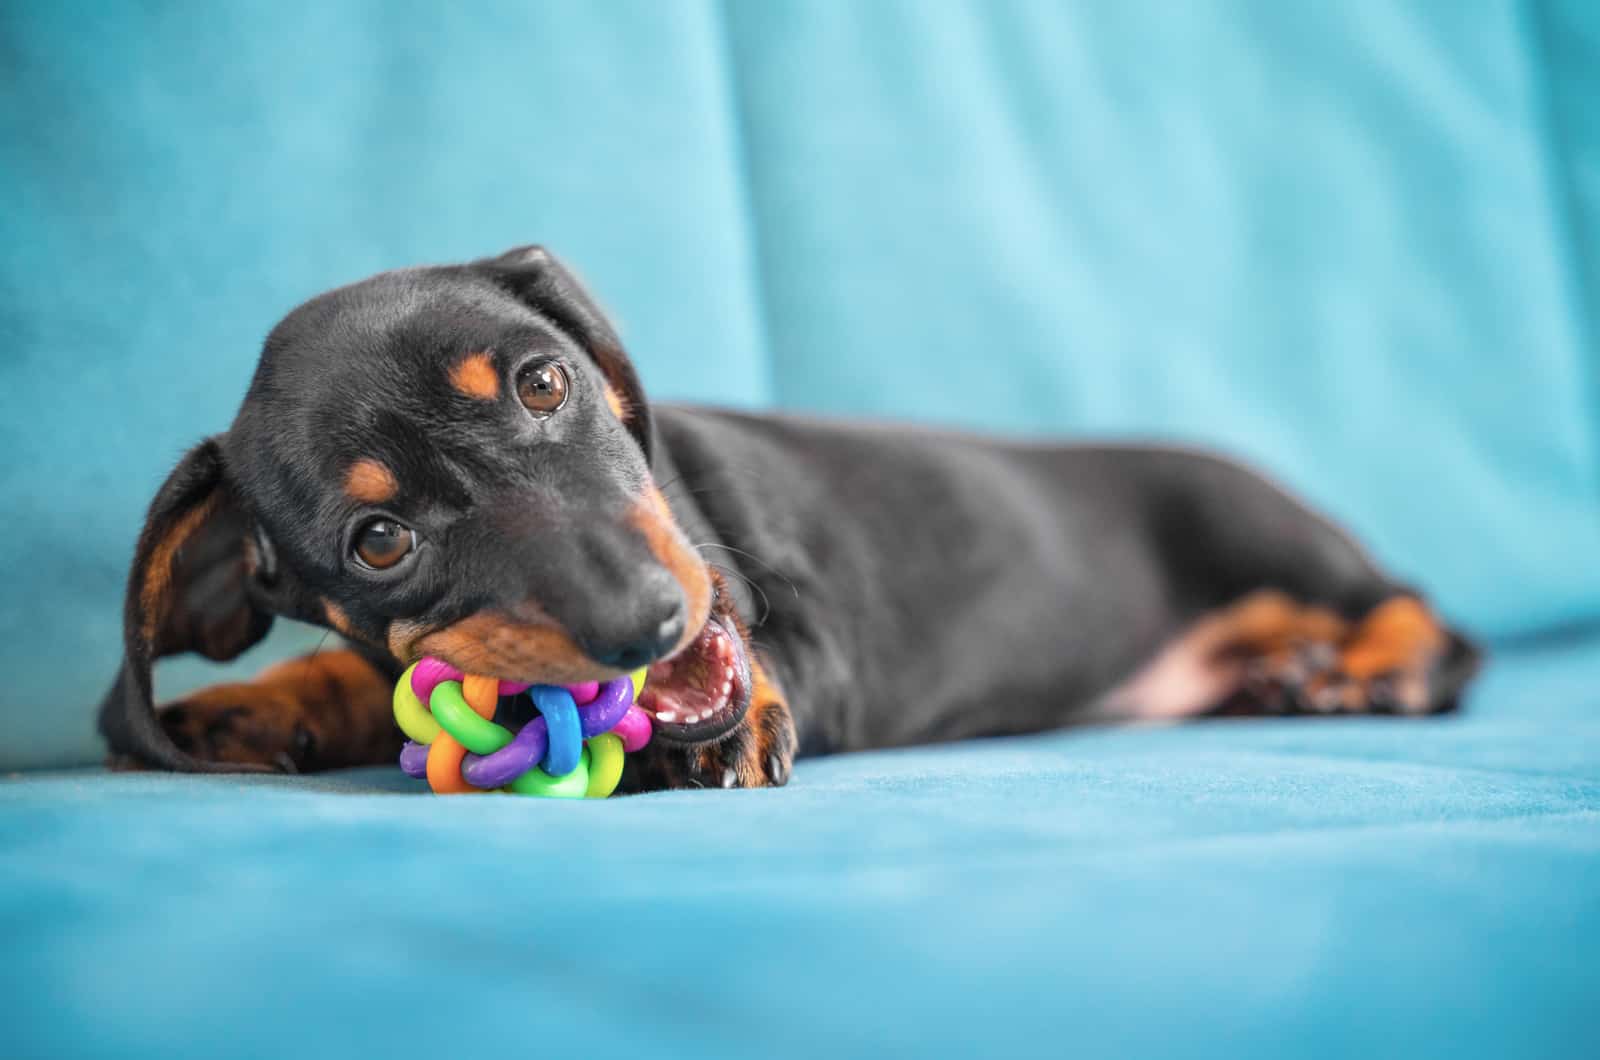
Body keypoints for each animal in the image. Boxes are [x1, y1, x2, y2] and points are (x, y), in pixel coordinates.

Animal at [96, 246, 1472, 787]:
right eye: (378, 542)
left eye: (543, 382)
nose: (647, 624)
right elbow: (358, 672)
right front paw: (255, 703)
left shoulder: (805, 621)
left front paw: (728, 719)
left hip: (1270, 540)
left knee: (1431, 619)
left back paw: (1368, 671)